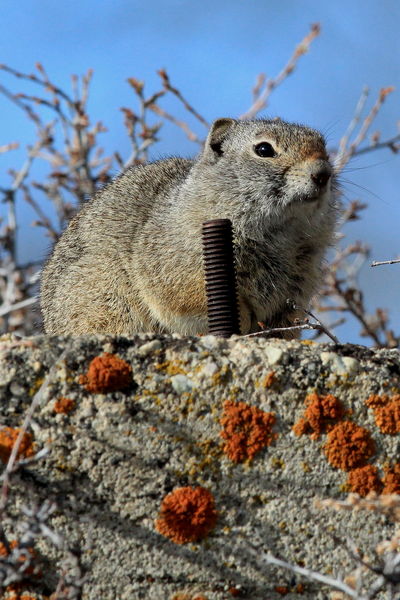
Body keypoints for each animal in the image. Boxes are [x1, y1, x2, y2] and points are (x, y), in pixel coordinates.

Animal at [41, 117, 338, 338]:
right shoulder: (179, 269)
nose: (322, 173)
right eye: (264, 150)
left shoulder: (294, 292)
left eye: (324, 147)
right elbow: (191, 298)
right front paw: (238, 321)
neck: (281, 233)